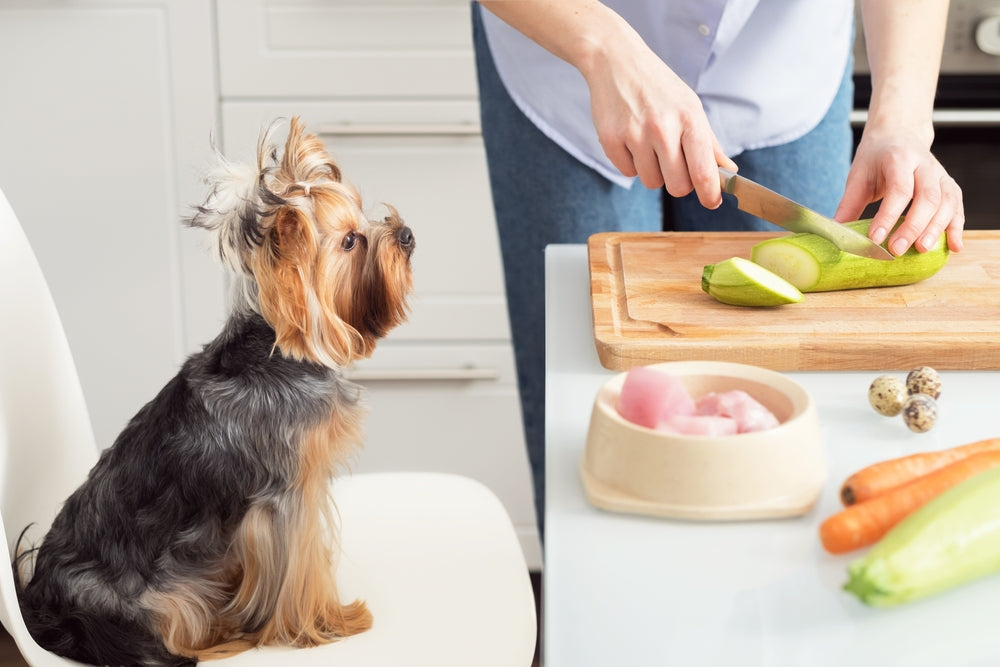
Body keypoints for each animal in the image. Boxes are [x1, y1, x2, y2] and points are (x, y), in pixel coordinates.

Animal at [15, 117, 414, 664]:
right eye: (351, 241)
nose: (407, 234)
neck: (277, 349)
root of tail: (43, 606)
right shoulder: (288, 494)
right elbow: (302, 568)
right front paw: (329, 624)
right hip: (164, 599)